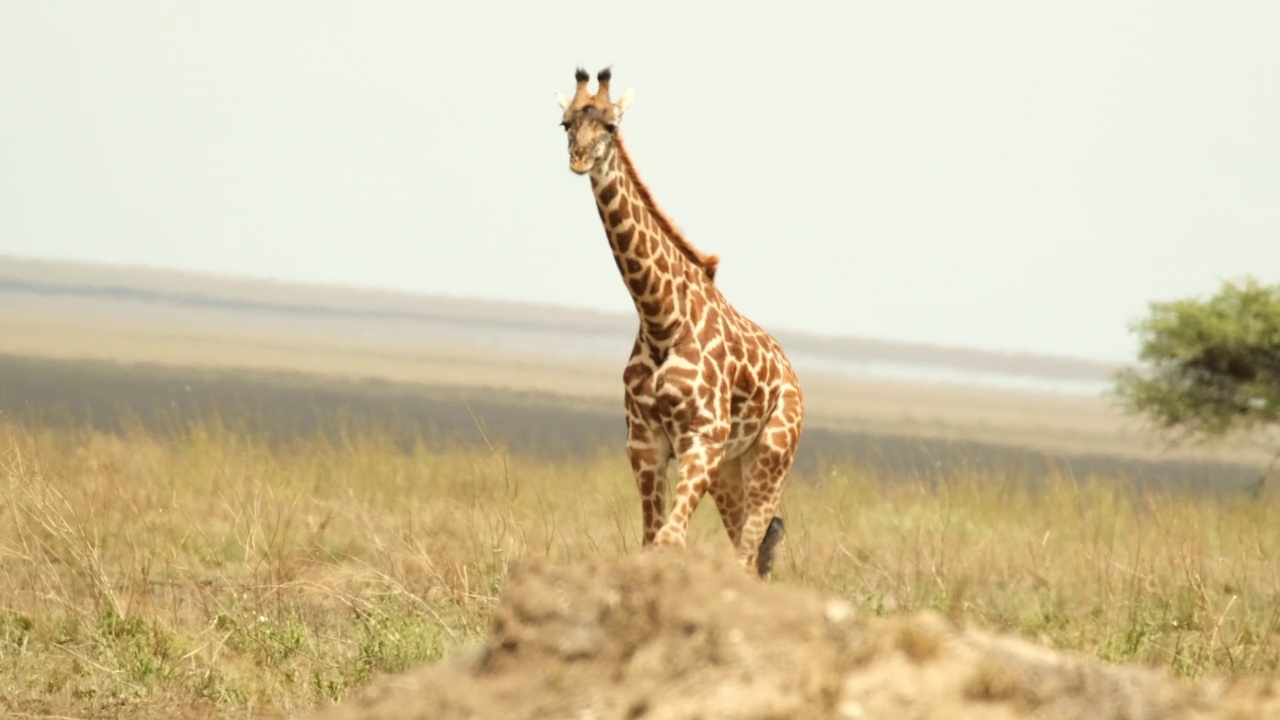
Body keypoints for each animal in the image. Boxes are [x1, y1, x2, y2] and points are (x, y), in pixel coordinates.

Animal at [558, 68, 803, 576]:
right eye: (565, 123)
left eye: (610, 125)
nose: (579, 159)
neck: (660, 318)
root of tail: (792, 376)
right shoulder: (645, 443)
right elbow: (652, 540)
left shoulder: (701, 439)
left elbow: (670, 540)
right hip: (729, 469)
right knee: (750, 550)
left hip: (771, 455)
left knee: (748, 552)